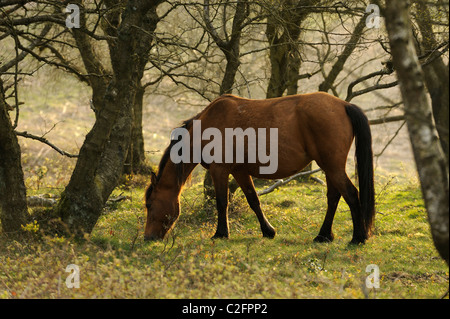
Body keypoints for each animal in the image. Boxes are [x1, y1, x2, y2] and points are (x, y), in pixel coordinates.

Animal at [145, 92, 376, 245]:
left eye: (149, 204)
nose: (148, 237)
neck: (208, 124)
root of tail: (344, 105)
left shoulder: (219, 170)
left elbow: (222, 202)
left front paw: (220, 233)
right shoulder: (239, 171)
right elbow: (253, 200)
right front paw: (268, 231)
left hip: (332, 166)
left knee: (351, 194)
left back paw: (358, 237)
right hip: (330, 167)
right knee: (334, 197)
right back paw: (324, 235)